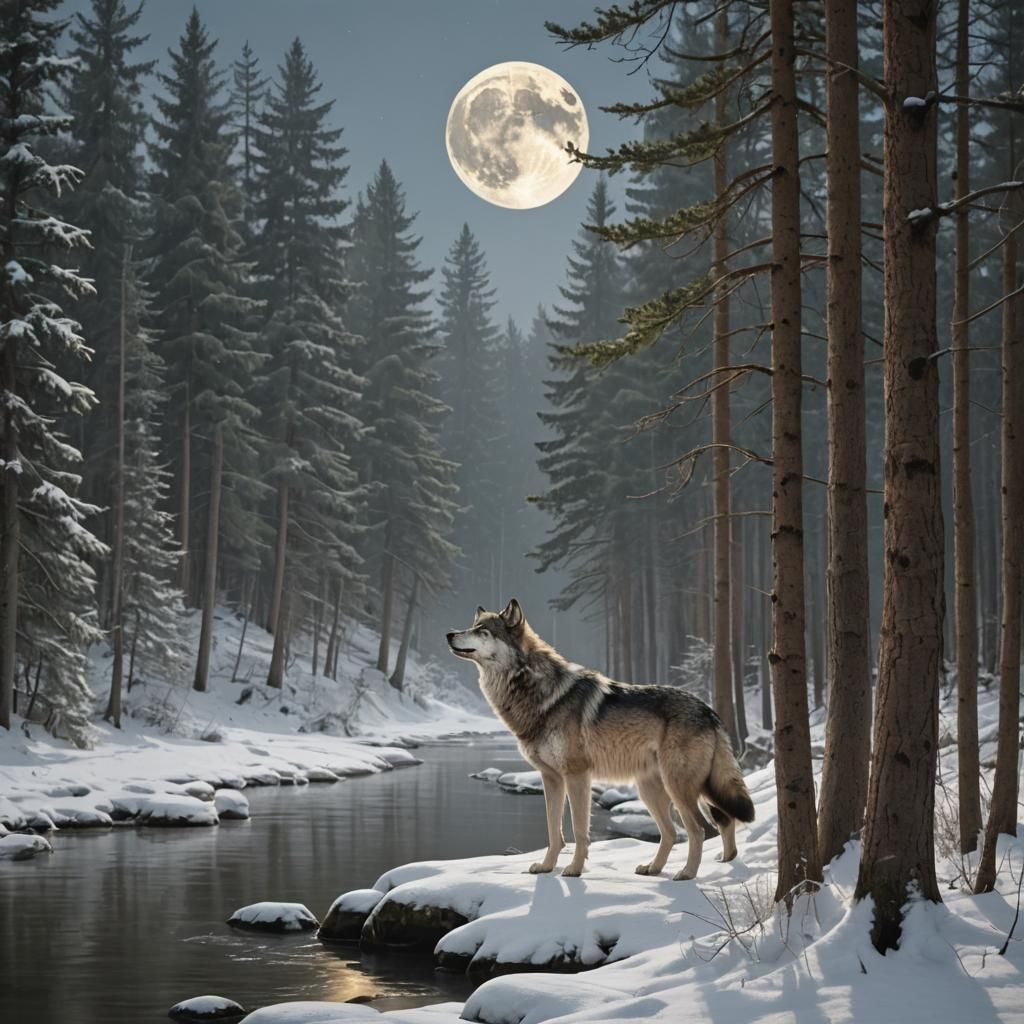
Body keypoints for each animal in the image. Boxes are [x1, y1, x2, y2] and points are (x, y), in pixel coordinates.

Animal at [447, 599, 755, 880]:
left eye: (482, 630)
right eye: (472, 626)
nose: (449, 633)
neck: (537, 691)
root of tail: (709, 711)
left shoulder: (577, 775)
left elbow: (579, 830)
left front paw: (573, 870)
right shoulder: (551, 778)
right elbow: (554, 830)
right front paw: (546, 868)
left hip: (681, 788)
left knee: (699, 829)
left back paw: (688, 874)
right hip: (662, 791)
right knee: (695, 827)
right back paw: (685, 867)